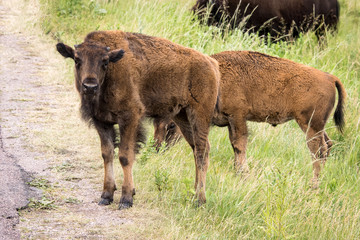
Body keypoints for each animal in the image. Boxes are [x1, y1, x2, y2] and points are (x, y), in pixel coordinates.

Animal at [56, 30, 221, 208]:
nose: (90, 87)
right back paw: (194, 194)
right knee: (197, 149)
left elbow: (125, 156)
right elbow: (107, 154)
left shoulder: (129, 118)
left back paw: (199, 199)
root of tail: (212, 64)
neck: (112, 70)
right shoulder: (101, 121)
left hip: (199, 115)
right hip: (182, 117)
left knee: (201, 151)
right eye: (77, 60)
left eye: (105, 62)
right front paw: (106, 195)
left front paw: (126, 198)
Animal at [153, 50, 344, 187]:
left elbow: (239, 145)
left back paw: (313, 184)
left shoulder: (238, 117)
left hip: (309, 125)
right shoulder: (231, 121)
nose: (157, 148)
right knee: (327, 145)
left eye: (171, 126)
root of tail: (330, 78)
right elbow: (235, 146)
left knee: (318, 150)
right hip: (317, 126)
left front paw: (242, 174)